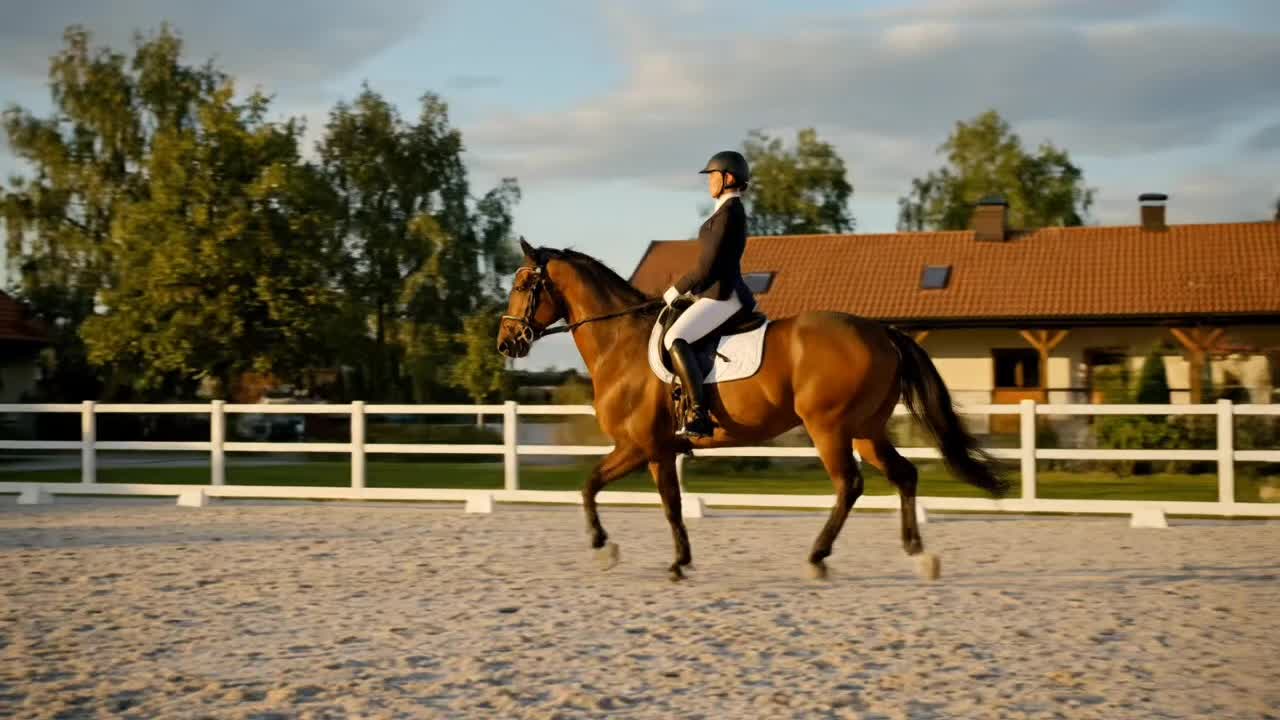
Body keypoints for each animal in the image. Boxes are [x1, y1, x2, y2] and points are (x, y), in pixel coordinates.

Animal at [497, 238, 1008, 582]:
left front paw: (607, 549)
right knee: (904, 475)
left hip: (829, 428)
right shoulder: (659, 450)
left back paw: (818, 558)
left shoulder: (641, 446)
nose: (507, 343)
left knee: (850, 485)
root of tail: (881, 331)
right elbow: (661, 504)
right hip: (866, 428)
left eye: (523, 283)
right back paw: (919, 555)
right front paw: (677, 561)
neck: (620, 345)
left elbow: (597, 488)